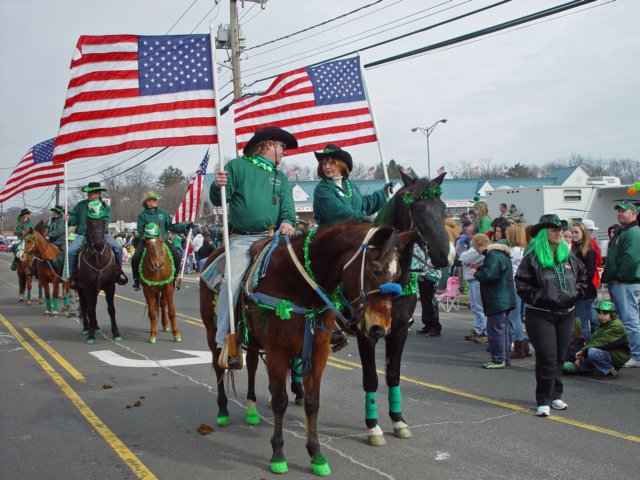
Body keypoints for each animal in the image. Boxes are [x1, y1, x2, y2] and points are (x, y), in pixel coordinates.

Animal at [200, 222, 416, 476]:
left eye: (398, 273)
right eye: (374, 268)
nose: (380, 328)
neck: (297, 286)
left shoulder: (318, 352)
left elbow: (313, 403)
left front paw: (316, 455)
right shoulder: (277, 352)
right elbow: (280, 401)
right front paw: (278, 454)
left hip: (252, 341)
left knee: (251, 366)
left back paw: (251, 410)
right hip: (212, 333)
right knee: (219, 367)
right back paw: (223, 411)